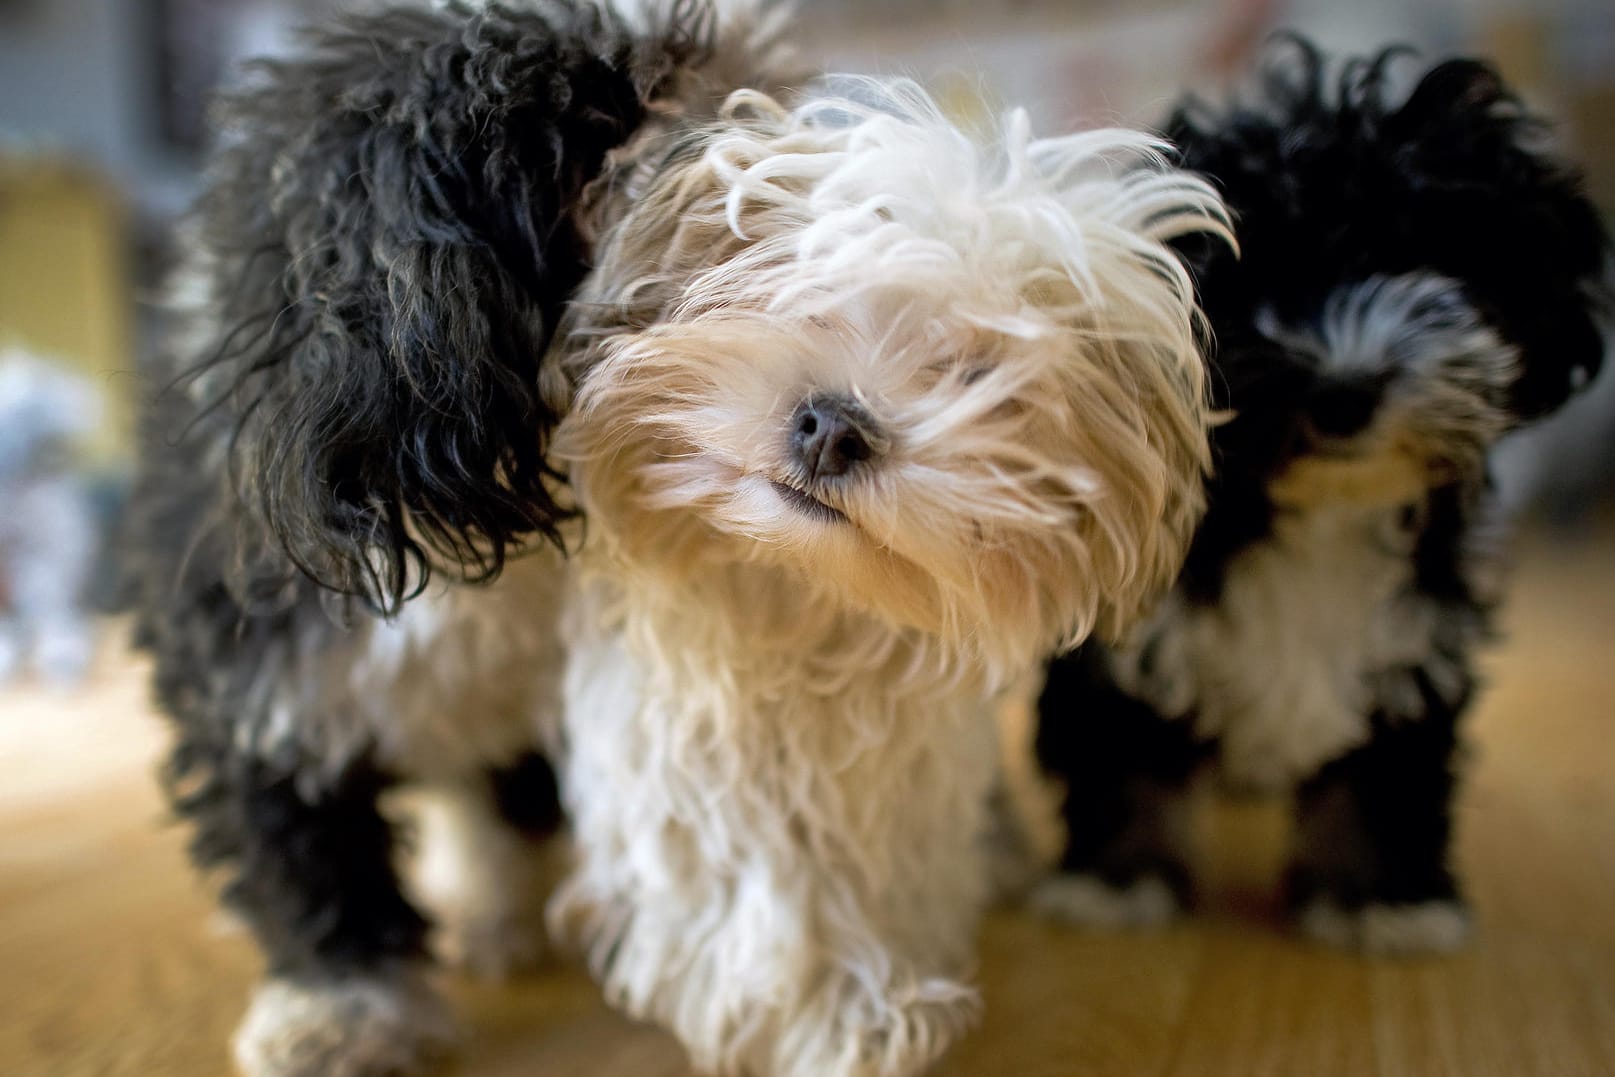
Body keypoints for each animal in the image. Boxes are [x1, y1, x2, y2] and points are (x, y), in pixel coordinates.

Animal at [1027, 37, 1608, 955]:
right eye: (1250, 281)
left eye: (1420, 256)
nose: (1343, 388)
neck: (1317, 512)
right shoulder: (1125, 639)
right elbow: (1121, 748)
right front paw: (1116, 880)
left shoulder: (1415, 637)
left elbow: (1385, 770)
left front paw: (1378, 897)